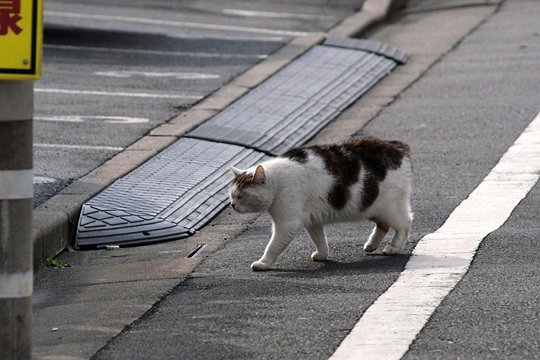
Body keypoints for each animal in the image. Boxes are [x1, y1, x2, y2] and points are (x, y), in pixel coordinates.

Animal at [229, 136, 414, 272]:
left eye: (241, 196)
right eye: (231, 195)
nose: (232, 205)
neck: (277, 182)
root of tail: (397, 146)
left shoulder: (287, 224)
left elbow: (273, 246)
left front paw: (263, 263)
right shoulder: (312, 220)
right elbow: (319, 238)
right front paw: (322, 254)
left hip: (389, 207)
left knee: (405, 223)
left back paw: (394, 247)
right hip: (371, 206)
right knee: (383, 225)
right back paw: (371, 245)